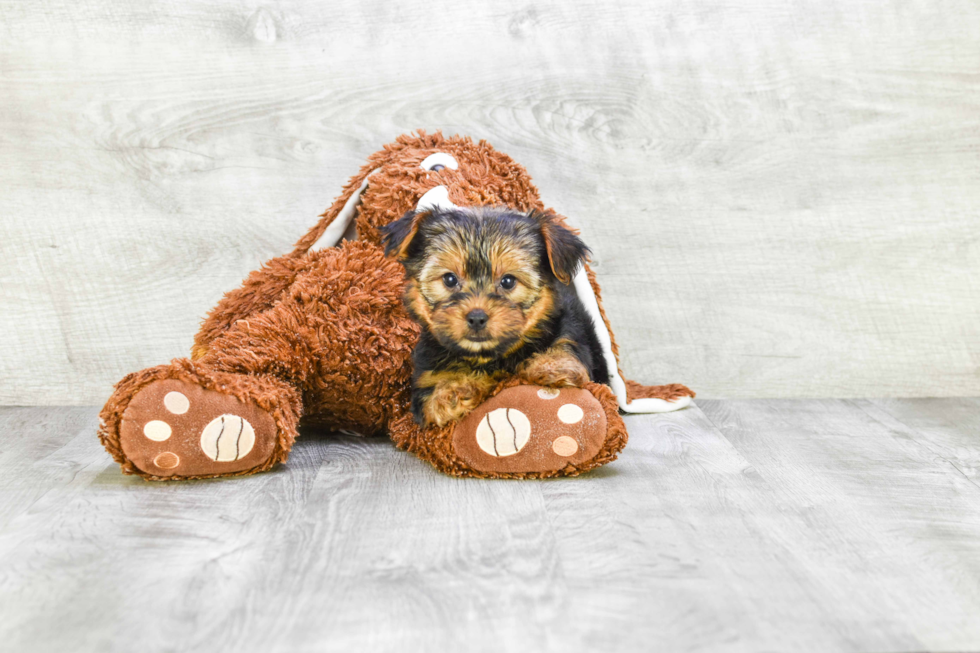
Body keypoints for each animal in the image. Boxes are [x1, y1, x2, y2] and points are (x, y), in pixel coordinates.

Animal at [380, 206, 604, 426]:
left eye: (508, 281)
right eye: (449, 279)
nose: (477, 317)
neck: (488, 357)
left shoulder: (568, 330)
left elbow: (565, 345)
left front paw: (552, 365)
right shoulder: (425, 381)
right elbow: (433, 400)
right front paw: (453, 391)